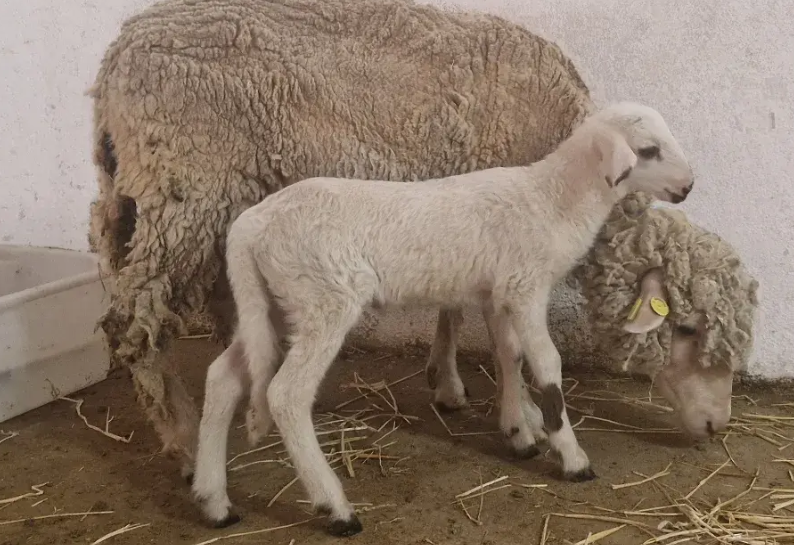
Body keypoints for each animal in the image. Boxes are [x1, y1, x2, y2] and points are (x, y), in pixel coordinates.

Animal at [86, 0, 592, 476]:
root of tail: (116, 57)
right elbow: (503, 337)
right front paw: (524, 416)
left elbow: (453, 308)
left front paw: (449, 384)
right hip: (188, 190)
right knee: (134, 320)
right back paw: (184, 438)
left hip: (141, 198)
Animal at [192, 102, 692, 536]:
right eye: (649, 150)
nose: (688, 187)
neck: (552, 200)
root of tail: (250, 225)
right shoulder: (526, 286)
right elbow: (547, 366)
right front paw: (570, 455)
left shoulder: (497, 291)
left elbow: (508, 356)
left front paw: (519, 430)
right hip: (323, 297)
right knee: (286, 394)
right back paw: (335, 507)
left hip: (272, 303)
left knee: (222, 377)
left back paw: (214, 501)